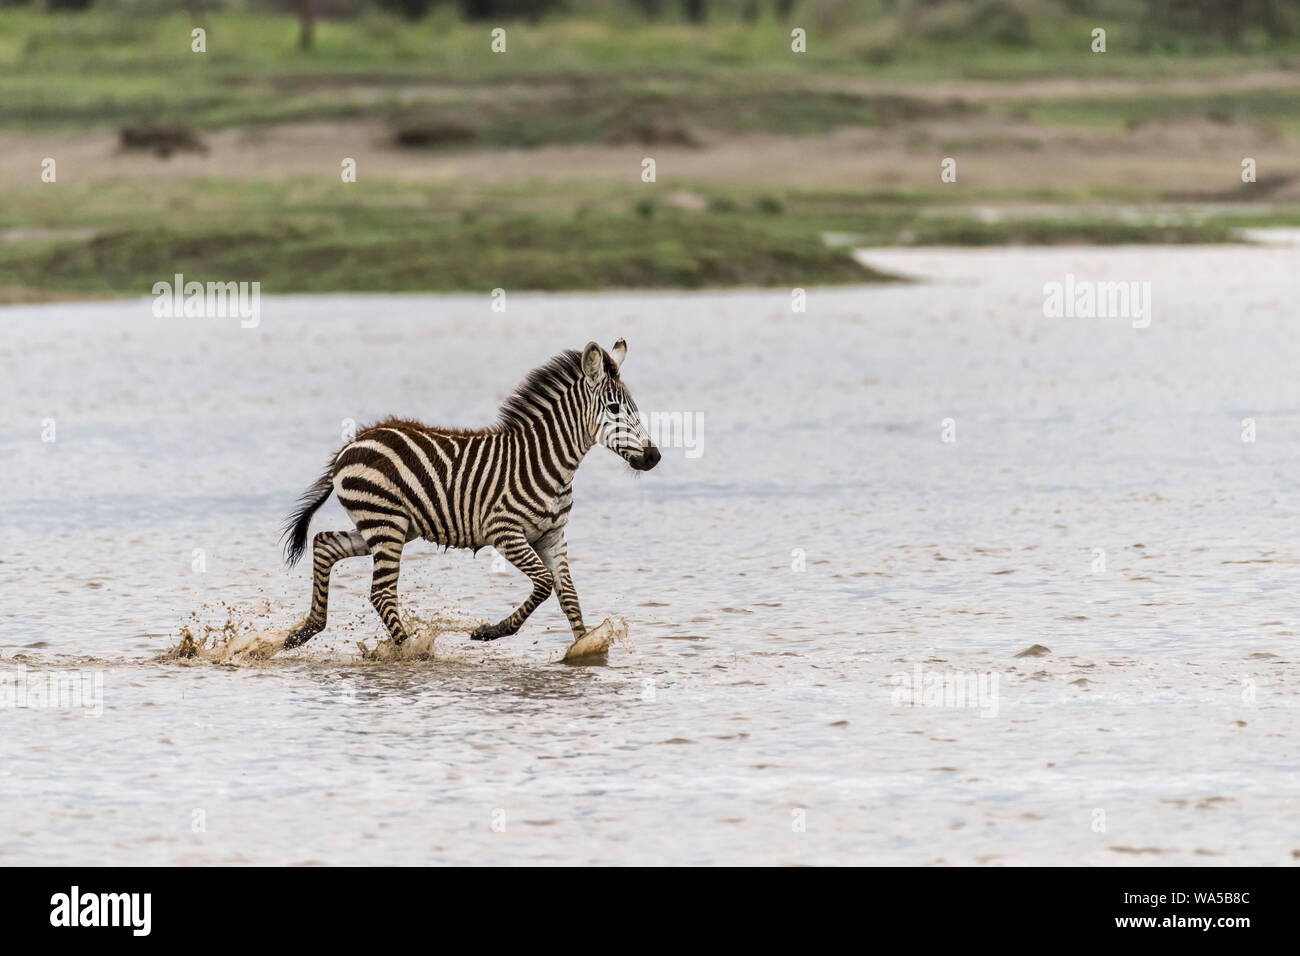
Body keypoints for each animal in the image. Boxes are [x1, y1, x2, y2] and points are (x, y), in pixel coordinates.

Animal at [278, 338, 655, 650]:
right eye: (615, 410)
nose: (654, 457)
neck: (546, 462)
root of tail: (352, 443)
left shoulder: (552, 536)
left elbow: (569, 596)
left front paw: (584, 648)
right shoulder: (505, 533)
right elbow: (545, 585)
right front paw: (492, 631)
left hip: (387, 525)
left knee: (325, 544)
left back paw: (304, 631)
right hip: (385, 524)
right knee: (382, 594)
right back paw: (410, 651)